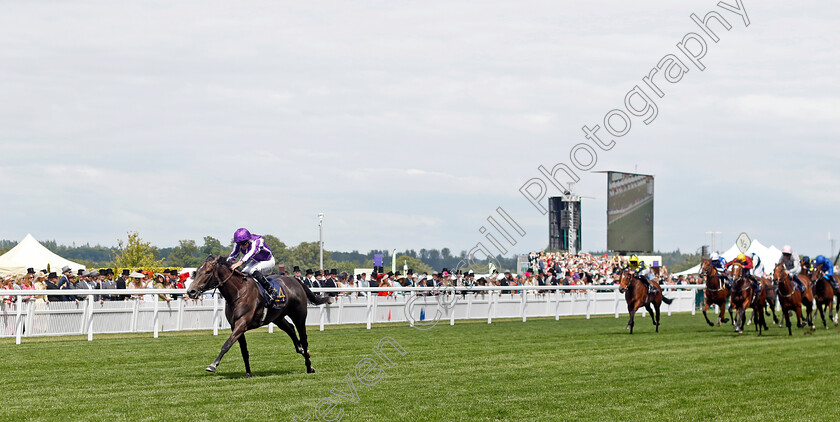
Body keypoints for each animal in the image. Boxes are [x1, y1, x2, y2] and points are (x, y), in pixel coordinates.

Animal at [189, 254, 334, 376]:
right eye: (196, 272)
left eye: (208, 272)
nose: (191, 291)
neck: (238, 292)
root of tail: (296, 280)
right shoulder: (235, 325)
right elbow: (243, 350)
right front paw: (248, 373)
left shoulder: (242, 323)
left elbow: (227, 344)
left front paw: (213, 365)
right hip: (278, 318)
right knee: (291, 329)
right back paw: (302, 351)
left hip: (299, 316)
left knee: (303, 339)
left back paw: (309, 367)